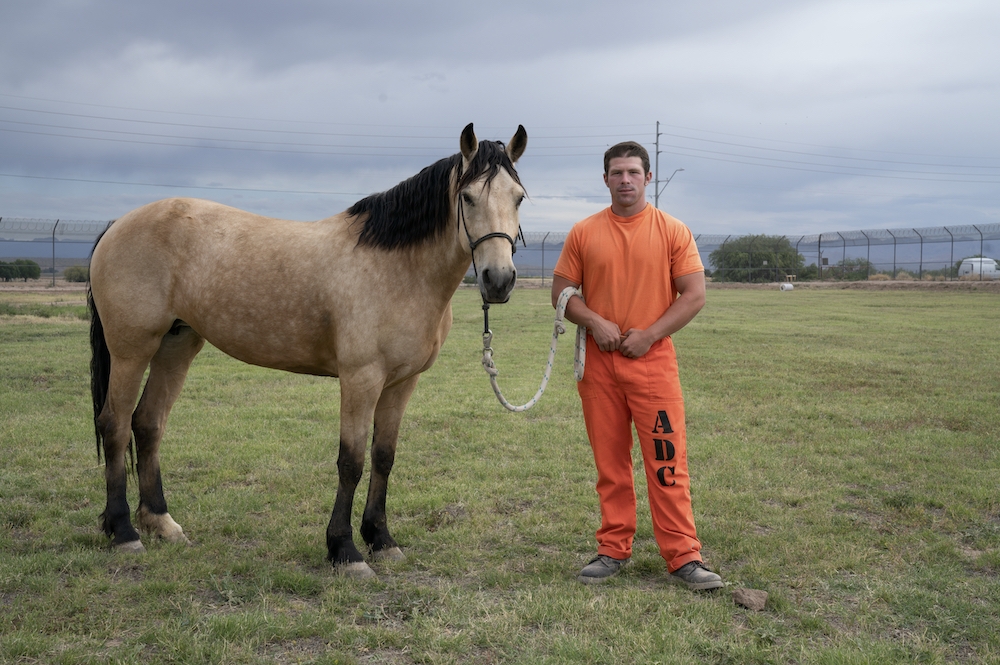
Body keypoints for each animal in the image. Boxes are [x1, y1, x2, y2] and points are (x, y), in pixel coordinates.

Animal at [88, 123, 527, 577]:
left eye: (518, 197)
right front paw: (345, 551)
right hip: (131, 351)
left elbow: (383, 456)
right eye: (468, 196)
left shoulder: (402, 383)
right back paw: (124, 532)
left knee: (148, 424)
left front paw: (381, 539)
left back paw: (161, 523)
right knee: (115, 425)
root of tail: (118, 225)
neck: (398, 269)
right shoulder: (361, 378)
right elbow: (351, 461)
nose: (498, 279)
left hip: (176, 346)